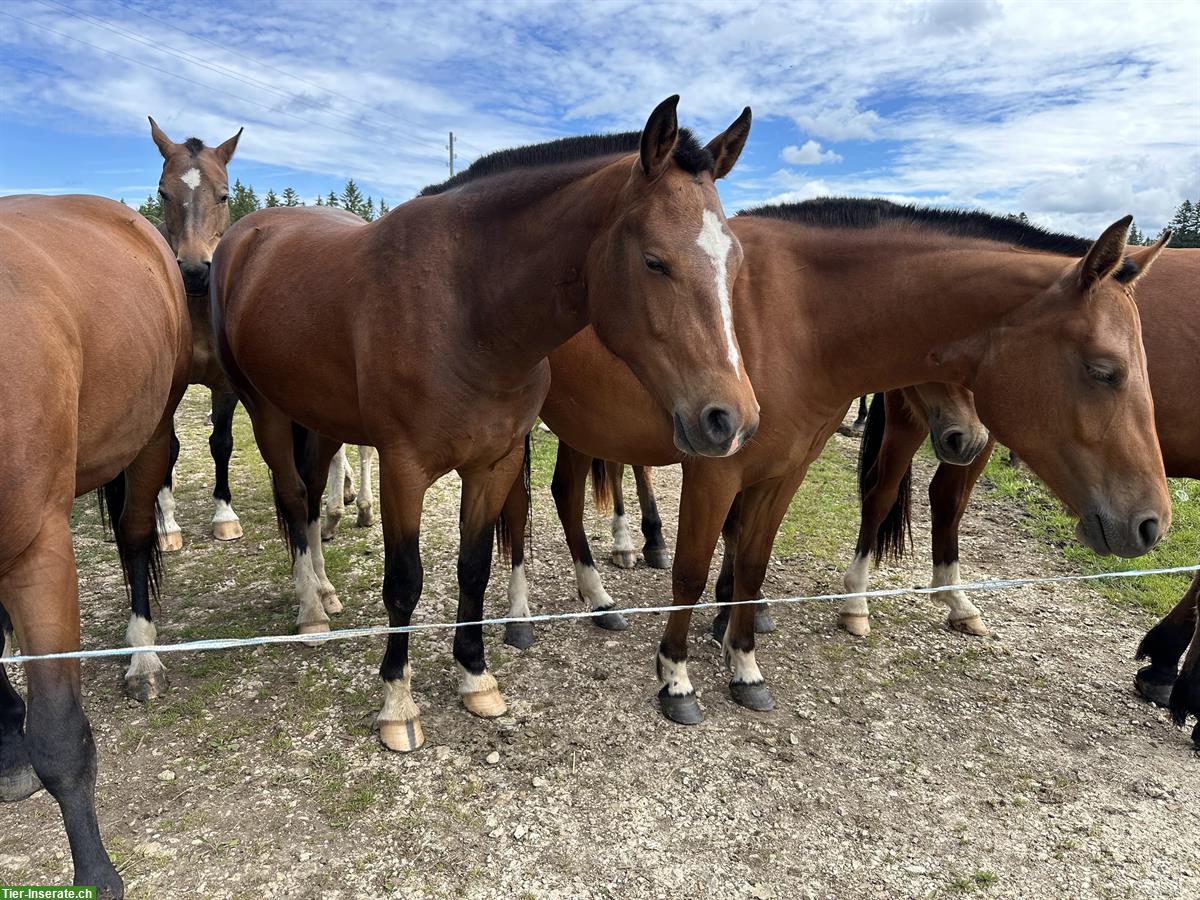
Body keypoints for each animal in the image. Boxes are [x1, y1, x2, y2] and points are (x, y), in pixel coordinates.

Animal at [0, 194, 189, 897]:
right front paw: (9, 754)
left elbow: (59, 735)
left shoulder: (38, 550)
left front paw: (95, 875)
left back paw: (143, 659)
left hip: (151, 435)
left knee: (134, 543)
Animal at [210, 95, 758, 748]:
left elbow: (472, 570)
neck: (465, 306)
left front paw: (475, 676)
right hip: (265, 409)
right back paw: (311, 611)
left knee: (314, 496)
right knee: (295, 499)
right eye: (655, 261)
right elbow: (405, 581)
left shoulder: (492, 464)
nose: (731, 420)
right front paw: (398, 704)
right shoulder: (403, 469)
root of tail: (245, 236)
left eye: (735, 262)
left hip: (319, 418)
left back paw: (323, 590)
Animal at [496, 199, 1171, 724]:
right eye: (1105, 370)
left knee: (564, 495)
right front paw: (677, 679)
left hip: (582, 426)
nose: (1151, 523)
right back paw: (521, 618)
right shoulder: (716, 471)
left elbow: (751, 562)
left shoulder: (783, 471)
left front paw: (743, 664)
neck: (792, 318)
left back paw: (599, 599)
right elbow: (689, 571)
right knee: (519, 509)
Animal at [844, 250, 1200, 748]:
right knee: (883, 492)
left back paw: (956, 603)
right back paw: (858, 602)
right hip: (914, 419)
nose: (1152, 524)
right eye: (1103, 373)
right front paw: (1175, 680)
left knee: (941, 496)